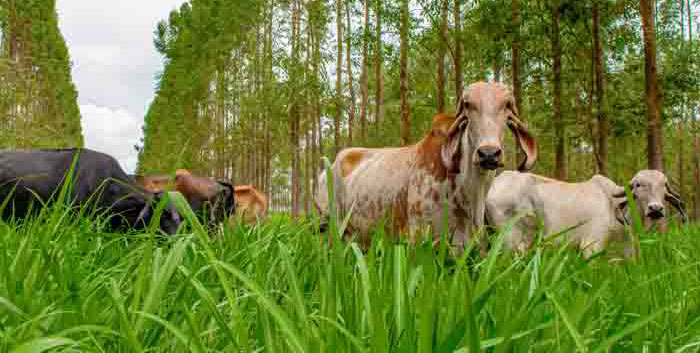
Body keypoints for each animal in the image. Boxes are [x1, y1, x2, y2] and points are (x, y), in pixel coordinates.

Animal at [314, 81, 540, 252]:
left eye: (507, 104)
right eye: (468, 104)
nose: (488, 153)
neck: (467, 192)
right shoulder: (418, 238)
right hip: (329, 226)